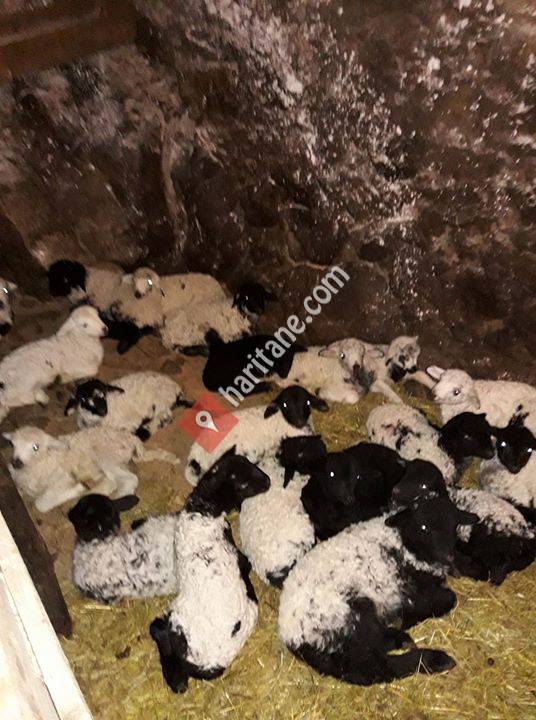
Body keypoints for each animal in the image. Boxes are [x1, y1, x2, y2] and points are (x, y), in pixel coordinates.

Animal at [3, 425, 179, 512]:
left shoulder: (62, 479)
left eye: (35, 447)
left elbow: (41, 505)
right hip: (113, 462)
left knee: (129, 479)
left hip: (106, 456)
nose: (17, 462)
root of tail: (130, 438)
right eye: (14, 444)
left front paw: (77, 489)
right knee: (113, 482)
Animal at [278, 495, 477, 685]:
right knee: (370, 668)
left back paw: (401, 639)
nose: (447, 555)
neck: (404, 543)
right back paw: (433, 659)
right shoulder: (413, 591)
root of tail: (290, 634)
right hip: (350, 615)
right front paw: (408, 618)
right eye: (423, 527)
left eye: (454, 525)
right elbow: (450, 597)